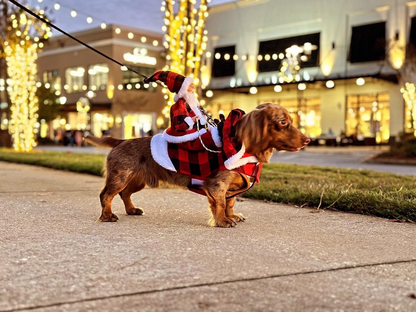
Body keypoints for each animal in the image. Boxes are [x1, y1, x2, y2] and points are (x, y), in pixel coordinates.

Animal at [86, 103, 310, 228]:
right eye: (283, 122)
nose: (308, 140)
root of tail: (121, 141)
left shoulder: (232, 188)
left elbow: (230, 203)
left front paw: (231, 216)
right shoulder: (217, 186)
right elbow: (219, 204)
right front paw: (222, 221)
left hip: (137, 181)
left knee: (125, 194)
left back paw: (132, 210)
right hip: (120, 177)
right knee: (106, 195)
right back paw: (107, 216)